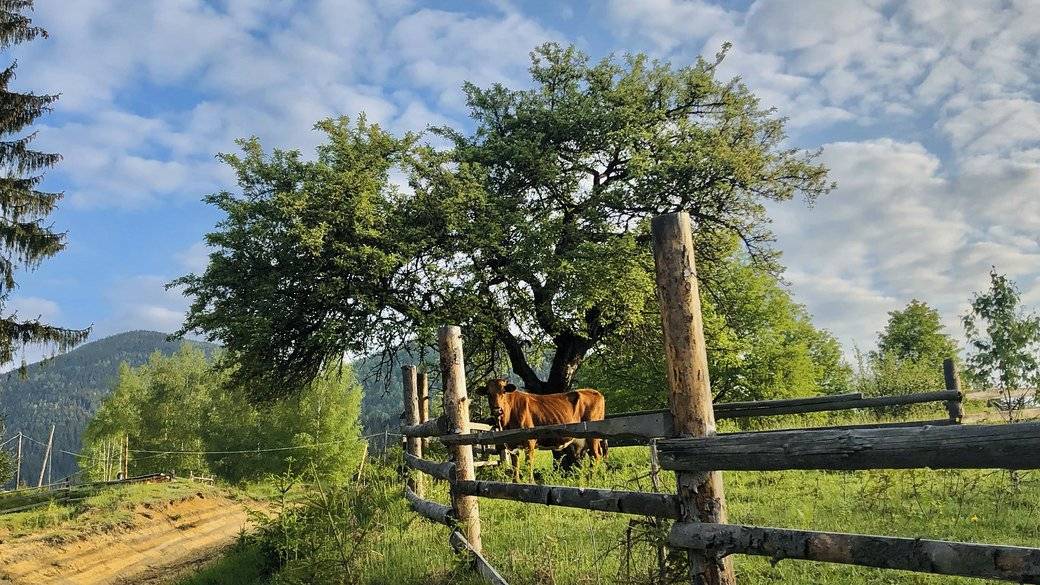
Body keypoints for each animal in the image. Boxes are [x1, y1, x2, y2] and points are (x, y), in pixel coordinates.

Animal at [476, 378, 607, 482]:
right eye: (488, 393)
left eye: (504, 391)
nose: (497, 410)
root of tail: (595, 392)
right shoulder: (512, 443)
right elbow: (515, 463)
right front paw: (516, 481)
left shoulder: (529, 441)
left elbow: (529, 462)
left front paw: (531, 482)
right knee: (594, 454)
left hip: (592, 436)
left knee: (596, 455)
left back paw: (591, 479)